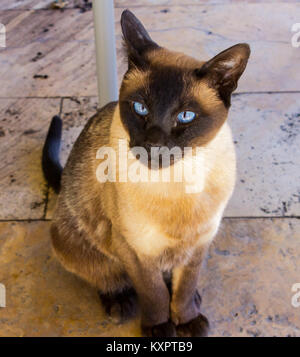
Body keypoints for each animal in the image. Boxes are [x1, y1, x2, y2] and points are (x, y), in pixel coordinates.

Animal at [41, 9, 248, 336]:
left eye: (185, 116)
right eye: (140, 109)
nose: (153, 144)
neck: (177, 183)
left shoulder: (198, 245)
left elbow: (183, 289)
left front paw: (187, 321)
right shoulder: (136, 251)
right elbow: (153, 294)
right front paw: (160, 328)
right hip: (75, 239)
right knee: (105, 275)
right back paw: (119, 303)